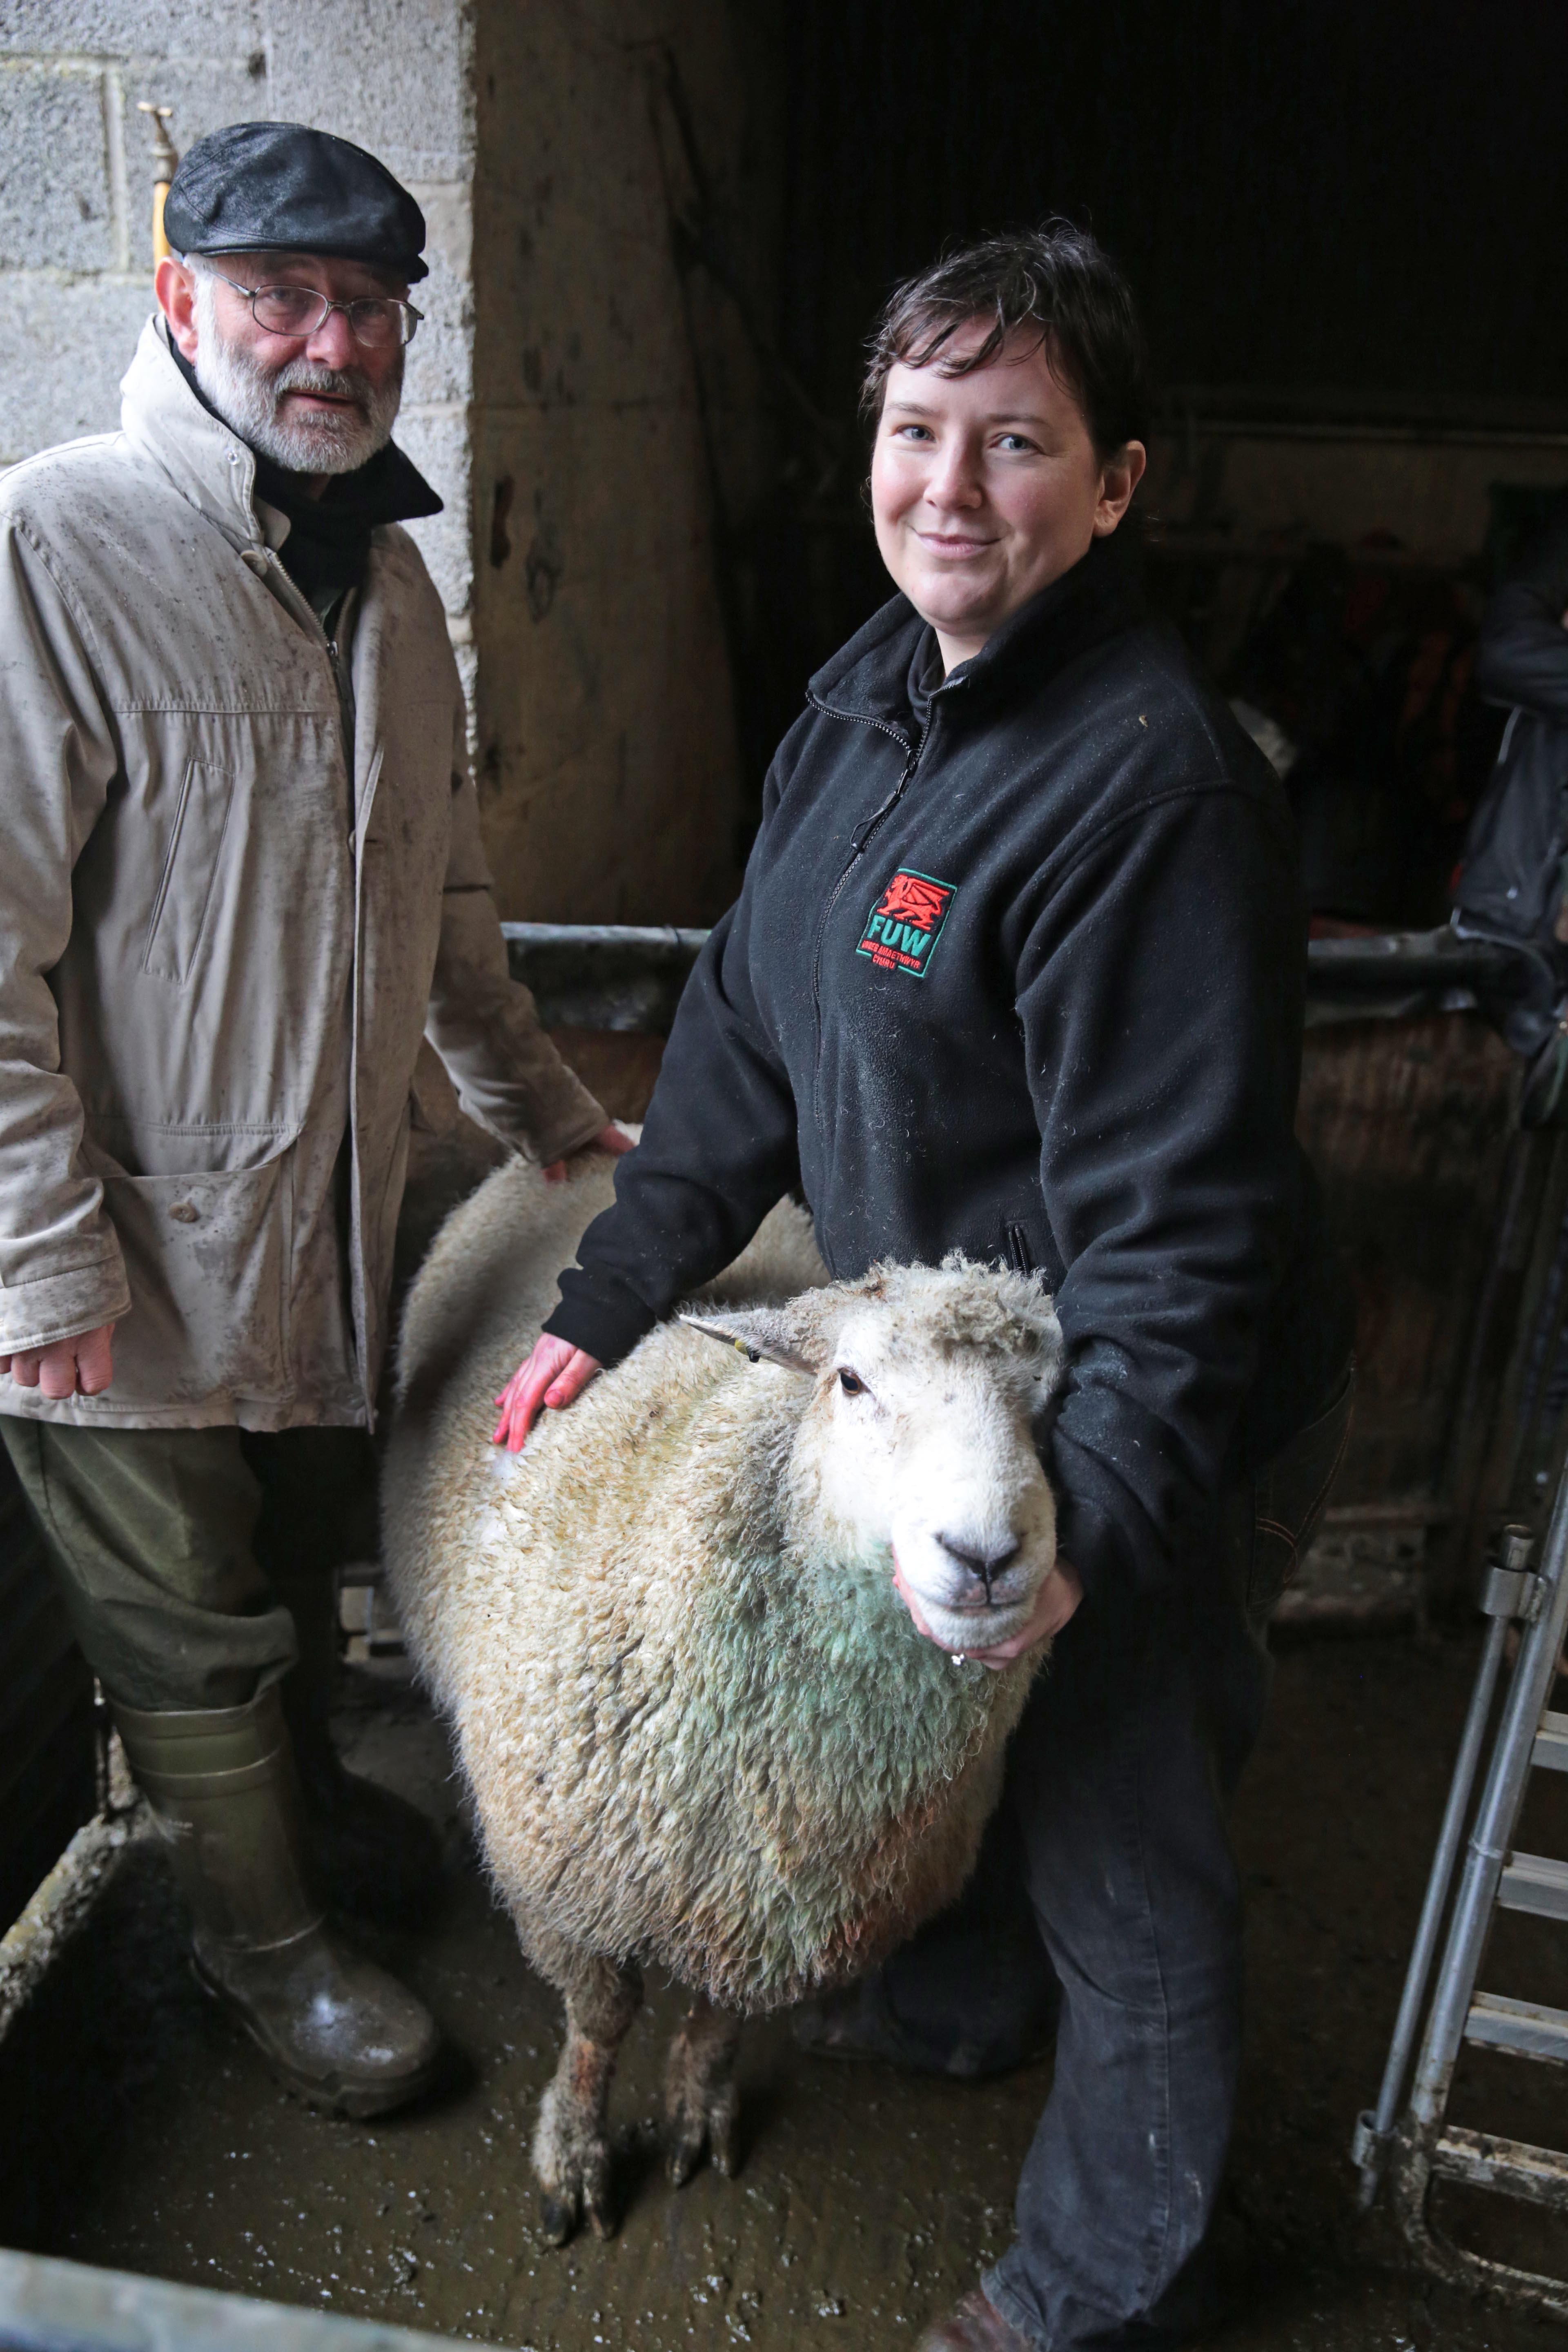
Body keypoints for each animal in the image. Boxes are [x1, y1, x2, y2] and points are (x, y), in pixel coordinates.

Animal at [385, 1147, 1067, 2248]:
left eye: (1054, 1399)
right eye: (850, 1380)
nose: (986, 1556)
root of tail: (605, 1138)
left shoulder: (777, 1906)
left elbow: (721, 2019)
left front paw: (698, 2110)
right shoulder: (561, 1880)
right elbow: (600, 2018)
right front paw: (573, 2150)